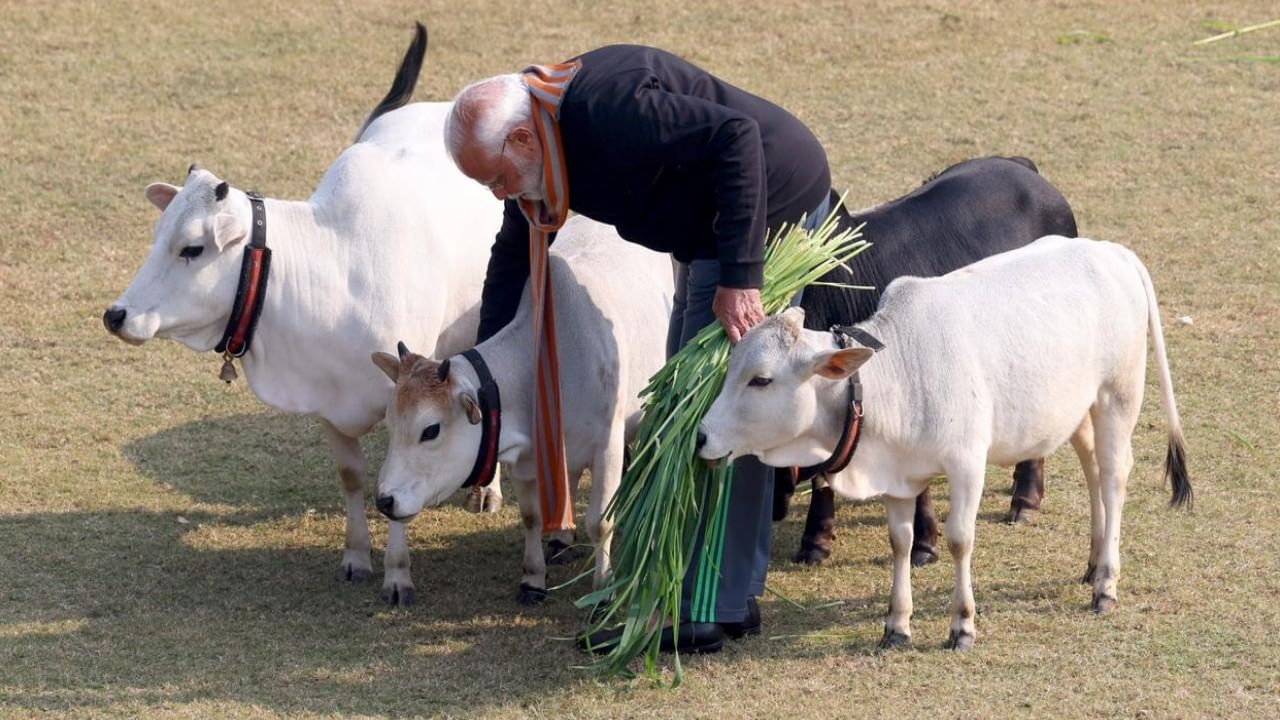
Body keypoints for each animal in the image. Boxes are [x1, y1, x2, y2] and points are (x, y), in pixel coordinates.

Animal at [101, 25, 499, 602]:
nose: (116, 315)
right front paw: (356, 557)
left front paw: (398, 574)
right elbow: (354, 478)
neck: (334, 273)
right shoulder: (327, 406)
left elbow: (400, 485)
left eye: (192, 249)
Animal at [371, 215, 675, 602]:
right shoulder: (527, 457)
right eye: (390, 424)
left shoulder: (607, 446)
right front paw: (533, 578)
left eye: (431, 430)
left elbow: (601, 522)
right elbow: (532, 516)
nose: (385, 501)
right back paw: (561, 538)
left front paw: (604, 587)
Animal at [701, 237, 1187, 650]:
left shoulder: (967, 463)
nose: (703, 435)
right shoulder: (896, 476)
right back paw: (1092, 563)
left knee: (1114, 478)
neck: (895, 374)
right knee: (1093, 471)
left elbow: (959, 539)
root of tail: (1114, 252)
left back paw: (1106, 583)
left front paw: (962, 625)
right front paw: (897, 625)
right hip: (1078, 409)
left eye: (761, 379)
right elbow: (900, 541)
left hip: (1118, 397)